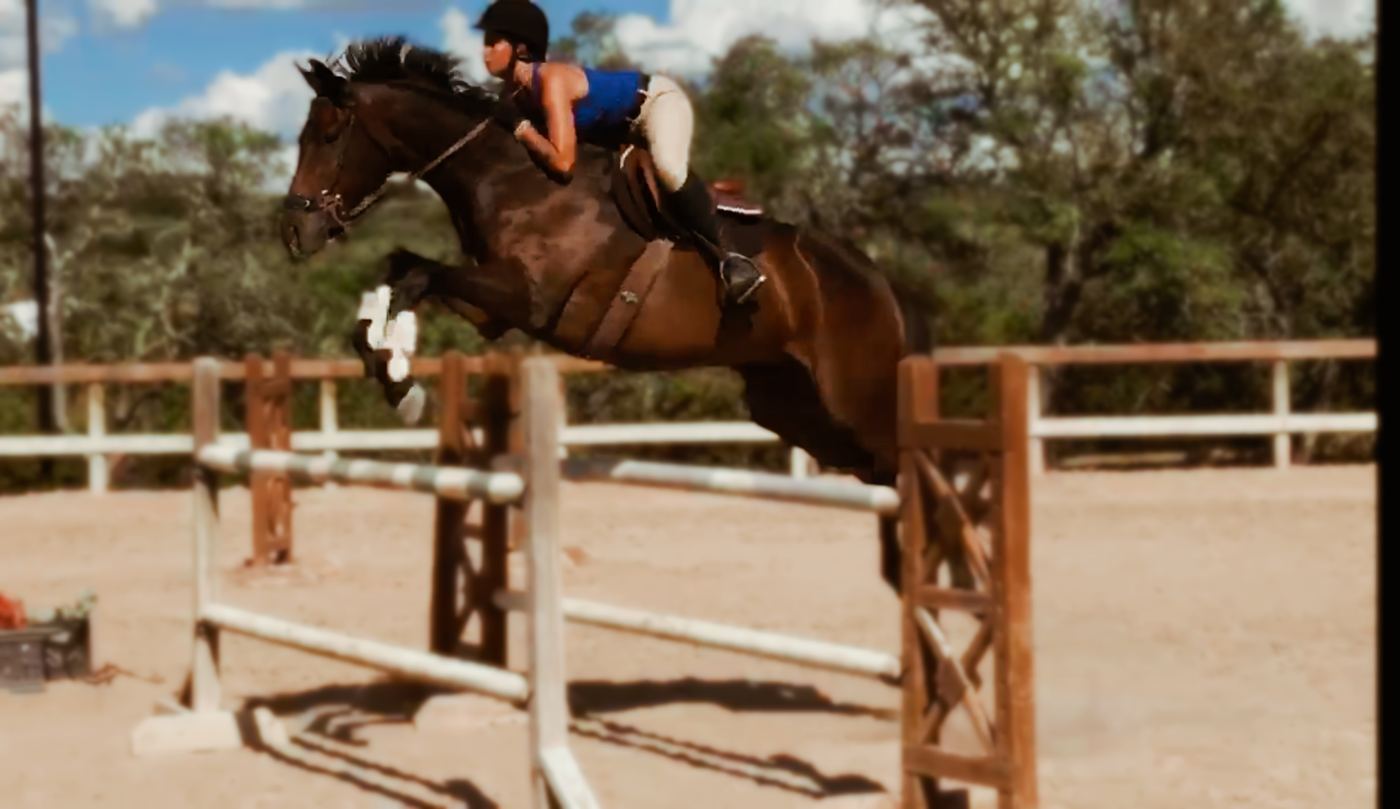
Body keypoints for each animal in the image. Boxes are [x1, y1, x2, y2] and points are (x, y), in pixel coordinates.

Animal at [279, 39, 931, 591]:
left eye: (329, 136)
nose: (295, 231)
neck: (506, 176)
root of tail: (881, 281)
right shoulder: (493, 308)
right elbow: (401, 271)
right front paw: (390, 372)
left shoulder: (528, 298)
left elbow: (416, 276)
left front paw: (400, 382)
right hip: (795, 408)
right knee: (882, 476)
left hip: (857, 400)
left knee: (914, 471)